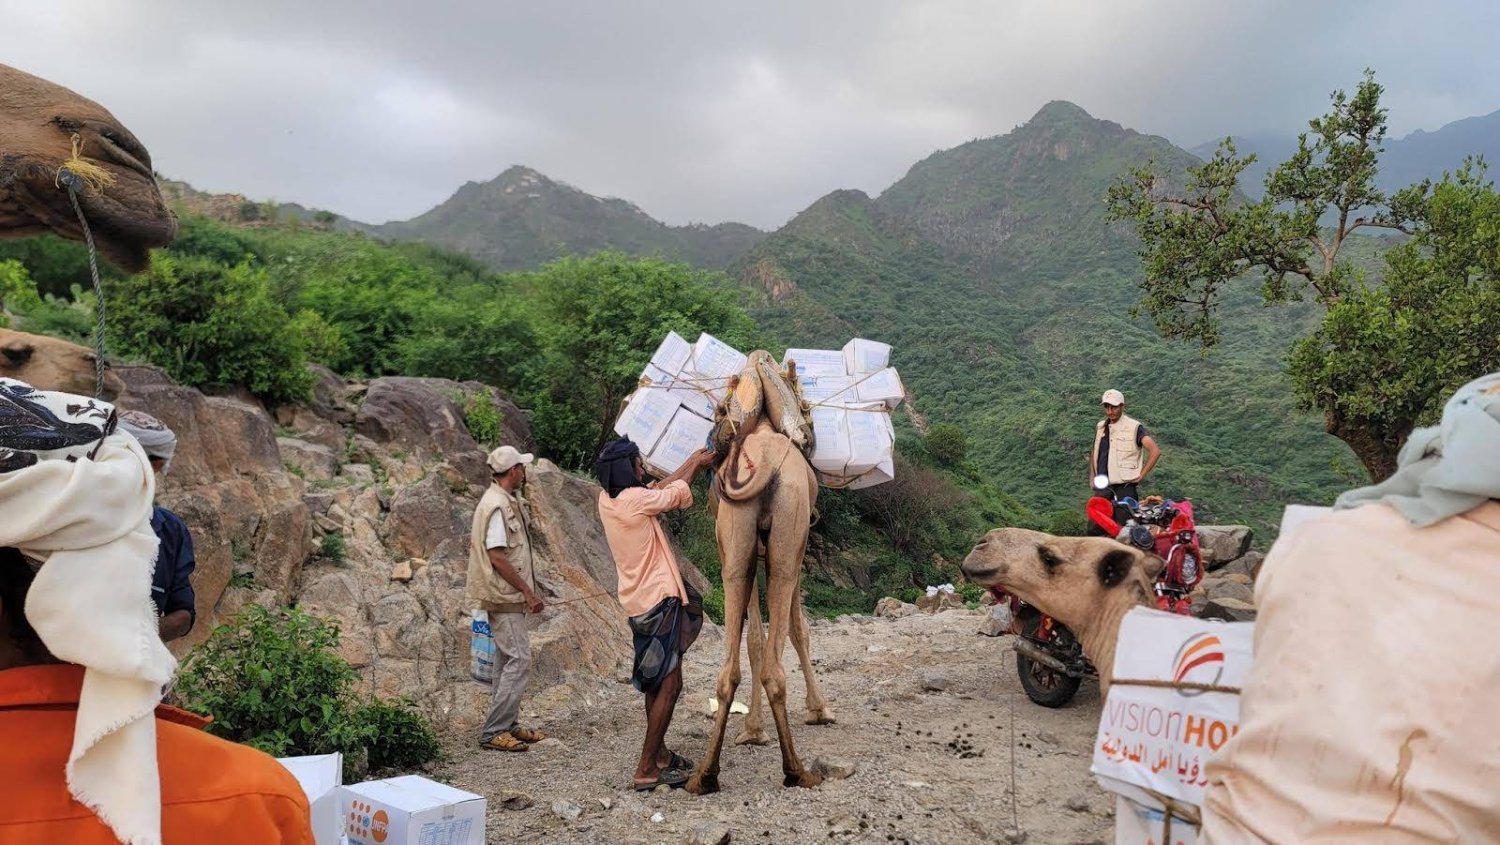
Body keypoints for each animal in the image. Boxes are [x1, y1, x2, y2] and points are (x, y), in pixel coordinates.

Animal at [687, 355, 828, 792]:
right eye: (805, 403)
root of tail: (763, 463)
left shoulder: (743, 551)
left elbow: (754, 638)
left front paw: (752, 730)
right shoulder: (798, 548)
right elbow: (798, 630)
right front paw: (819, 709)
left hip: (736, 544)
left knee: (728, 668)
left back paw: (705, 774)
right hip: (787, 538)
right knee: (775, 664)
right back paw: (797, 769)